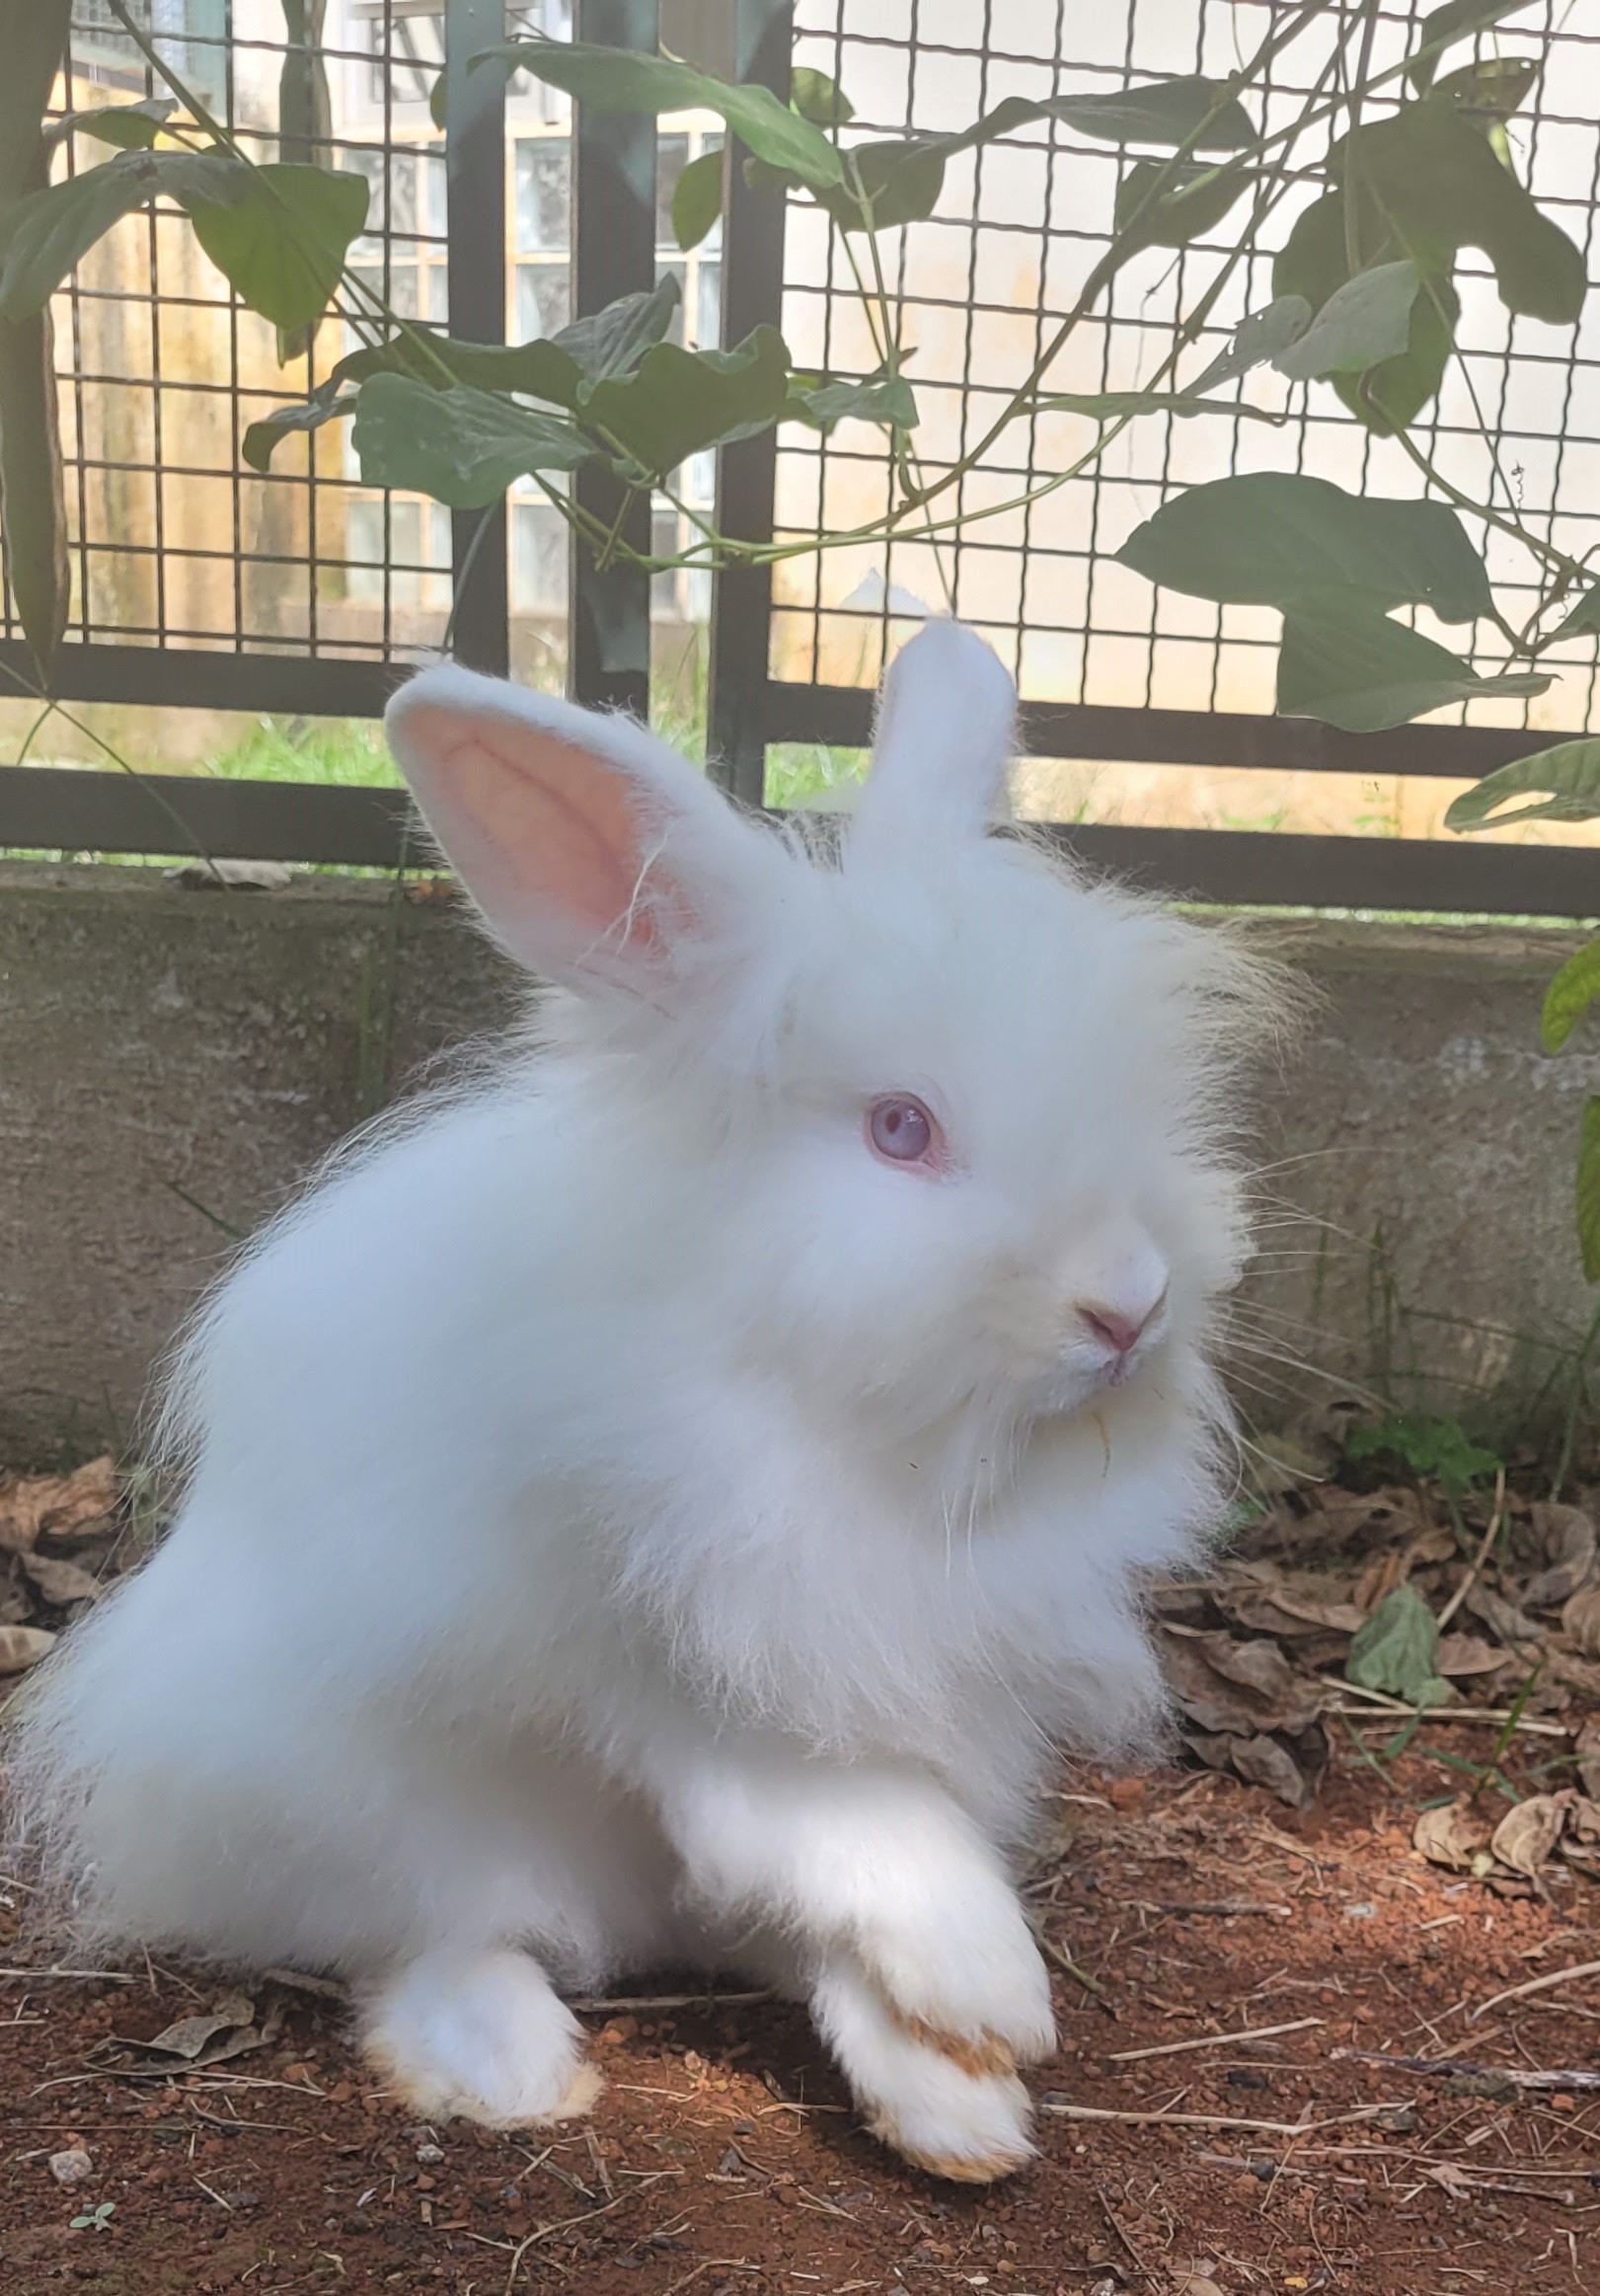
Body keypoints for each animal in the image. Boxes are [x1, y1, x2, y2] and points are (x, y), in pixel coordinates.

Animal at [6, 620, 1266, 2177]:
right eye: (900, 1128)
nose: (1130, 1304)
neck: (856, 1433)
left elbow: (864, 1847)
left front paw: (968, 2058)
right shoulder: (695, 1679)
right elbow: (865, 1833)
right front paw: (993, 1992)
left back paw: (943, 2107)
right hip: (354, 1801)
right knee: (423, 1937)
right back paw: (506, 2066)